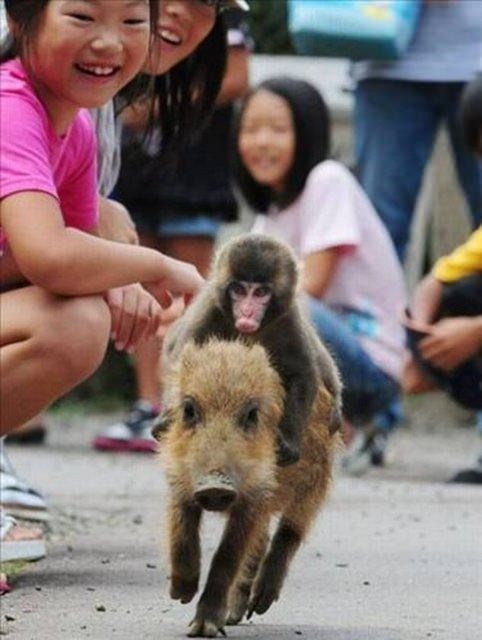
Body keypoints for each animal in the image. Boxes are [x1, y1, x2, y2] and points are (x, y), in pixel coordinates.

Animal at [158, 235, 342, 464]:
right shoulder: (209, 309)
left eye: (260, 292)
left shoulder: (289, 318)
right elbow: (182, 364)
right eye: (238, 290)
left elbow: (303, 374)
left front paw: (289, 439)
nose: (246, 312)